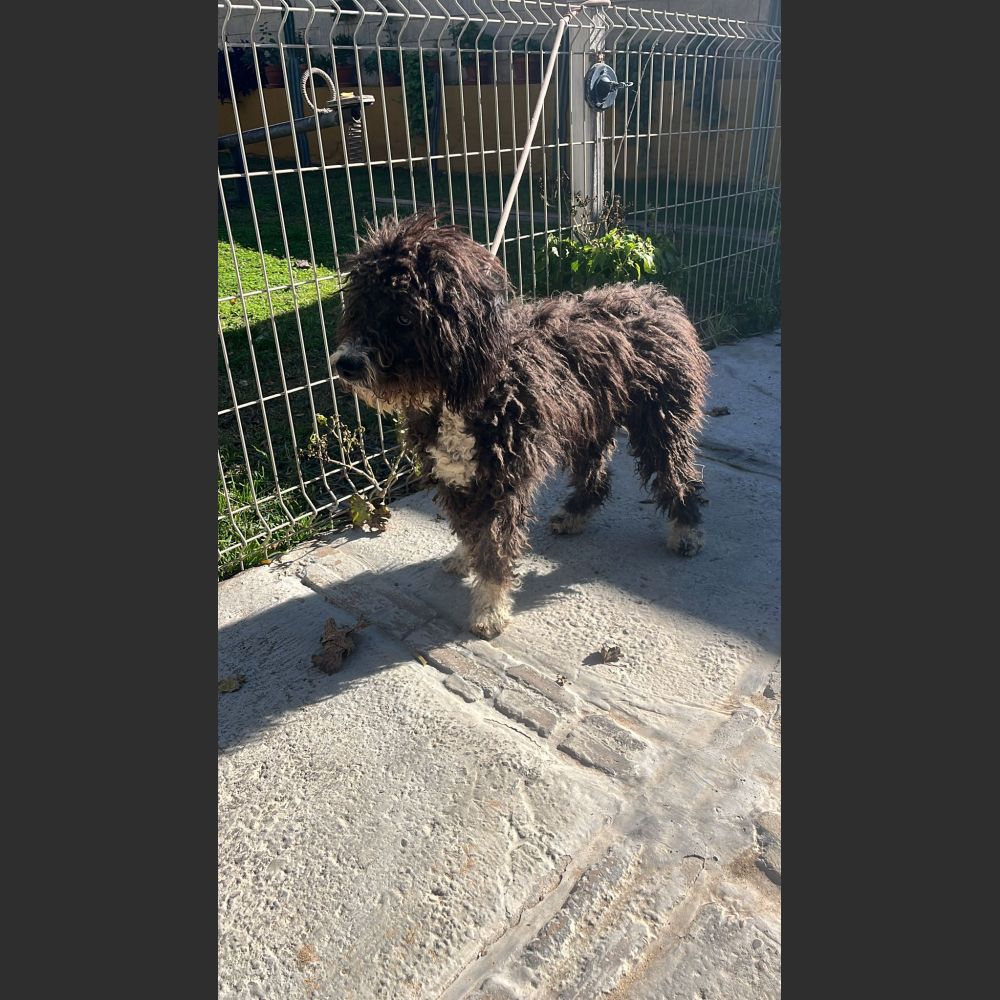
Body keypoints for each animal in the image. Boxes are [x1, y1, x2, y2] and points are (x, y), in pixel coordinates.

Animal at [332, 214, 710, 639]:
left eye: (402, 316)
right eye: (358, 308)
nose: (344, 364)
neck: (466, 390)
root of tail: (657, 298)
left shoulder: (503, 479)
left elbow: (494, 544)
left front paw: (489, 607)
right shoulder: (454, 474)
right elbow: (470, 529)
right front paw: (465, 557)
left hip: (660, 419)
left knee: (676, 472)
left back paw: (686, 529)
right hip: (587, 423)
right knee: (596, 474)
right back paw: (576, 513)